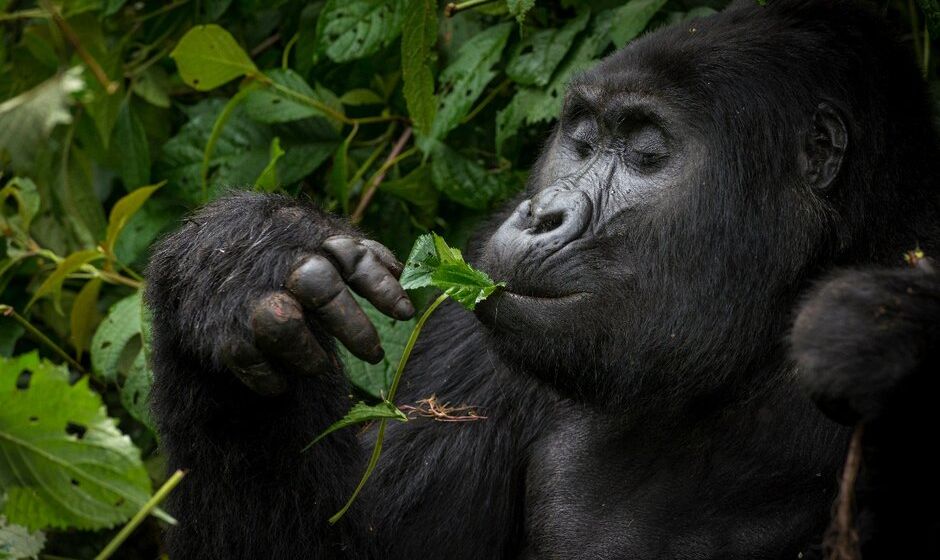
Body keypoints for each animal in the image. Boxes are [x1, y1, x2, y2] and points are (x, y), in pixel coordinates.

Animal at [145, 0, 940, 556]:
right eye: (582, 139)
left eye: (646, 151)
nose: (540, 214)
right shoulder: (476, 327)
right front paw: (237, 266)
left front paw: (878, 330)